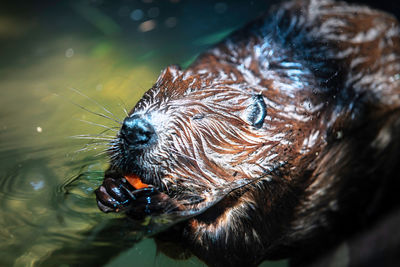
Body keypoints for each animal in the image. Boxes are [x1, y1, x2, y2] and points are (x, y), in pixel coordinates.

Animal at [95, 1, 400, 266]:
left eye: (198, 117)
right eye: (146, 98)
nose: (135, 130)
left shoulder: (292, 169)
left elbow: (234, 244)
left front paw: (164, 202)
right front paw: (111, 189)